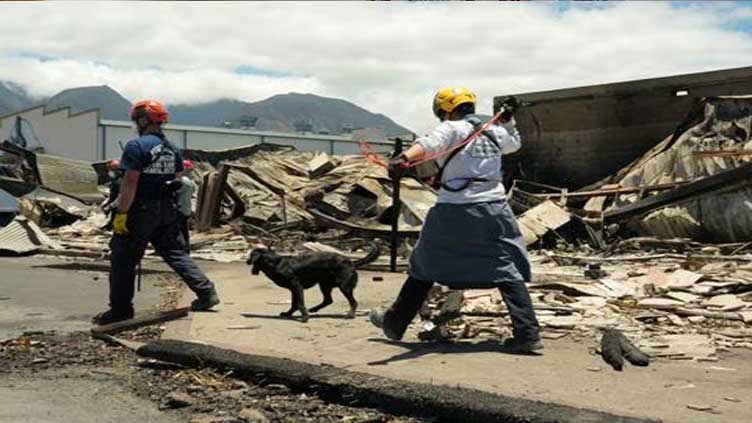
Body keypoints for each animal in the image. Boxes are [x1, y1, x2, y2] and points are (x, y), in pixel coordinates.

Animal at [247, 240, 378, 322]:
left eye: (250, 255)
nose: (247, 261)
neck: (276, 263)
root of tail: (351, 263)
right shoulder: (294, 290)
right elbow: (294, 304)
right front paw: (289, 314)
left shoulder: (297, 287)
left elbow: (300, 304)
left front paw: (304, 317)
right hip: (324, 284)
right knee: (328, 300)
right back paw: (314, 309)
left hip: (344, 287)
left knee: (353, 302)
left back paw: (350, 315)